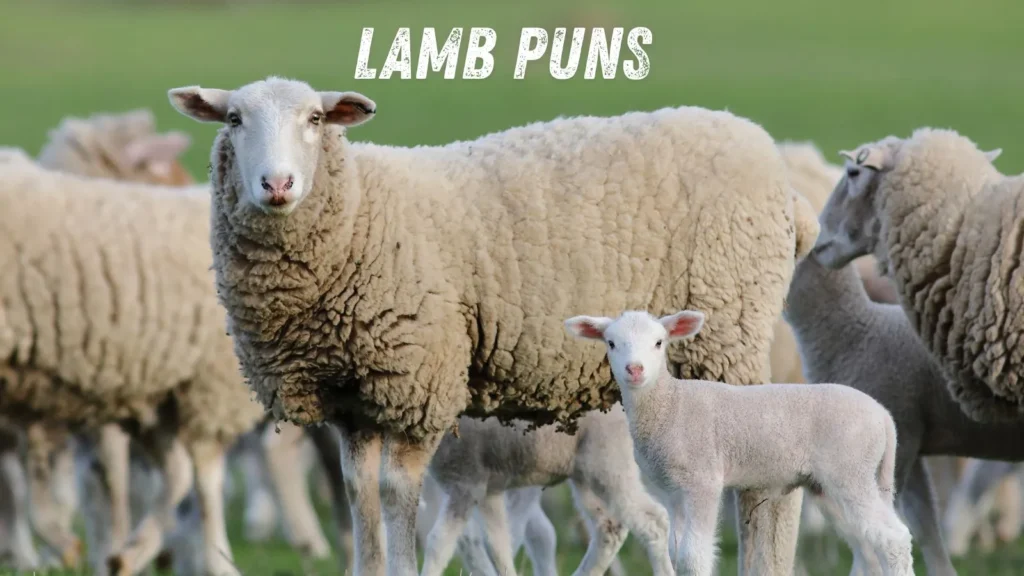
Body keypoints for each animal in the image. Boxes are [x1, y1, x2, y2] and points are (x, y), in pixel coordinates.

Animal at [0, 151, 267, 576]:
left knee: (204, 476)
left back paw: (211, 561)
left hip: (206, 387)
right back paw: (128, 553)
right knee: (177, 472)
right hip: (156, 396)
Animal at [421, 405, 674, 576]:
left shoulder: (466, 484)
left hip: (609, 463)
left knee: (655, 522)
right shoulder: (488, 492)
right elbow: (498, 546)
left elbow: (438, 544)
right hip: (585, 476)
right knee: (610, 528)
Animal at [564, 310, 914, 576]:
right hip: (833, 484)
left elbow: (694, 557)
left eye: (658, 342)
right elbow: (676, 554)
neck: (671, 404)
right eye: (611, 343)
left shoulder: (703, 480)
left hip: (850, 471)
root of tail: (883, 416)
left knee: (894, 539)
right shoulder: (671, 491)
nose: (634, 370)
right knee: (870, 543)